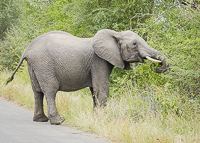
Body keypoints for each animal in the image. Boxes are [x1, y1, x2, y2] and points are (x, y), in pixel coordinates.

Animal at [7, 29, 168, 125]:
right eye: (134, 44)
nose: (158, 67)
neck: (114, 34)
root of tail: (27, 50)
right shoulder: (99, 61)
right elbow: (101, 89)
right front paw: (103, 120)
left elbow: (94, 91)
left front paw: (96, 117)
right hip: (43, 64)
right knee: (50, 90)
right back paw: (58, 121)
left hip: (33, 66)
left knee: (37, 91)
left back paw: (41, 120)